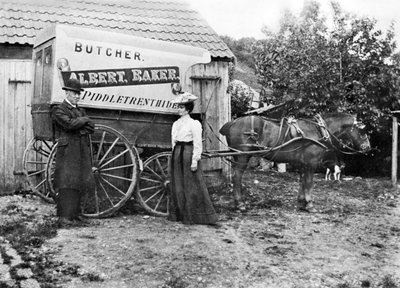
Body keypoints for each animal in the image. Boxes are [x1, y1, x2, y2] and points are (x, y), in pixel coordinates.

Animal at [220, 112, 370, 212]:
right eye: (362, 131)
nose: (367, 148)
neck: (318, 130)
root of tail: (232, 122)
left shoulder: (303, 164)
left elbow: (302, 181)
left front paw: (301, 202)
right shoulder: (311, 163)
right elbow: (308, 182)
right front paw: (309, 204)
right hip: (243, 156)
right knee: (237, 177)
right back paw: (240, 204)